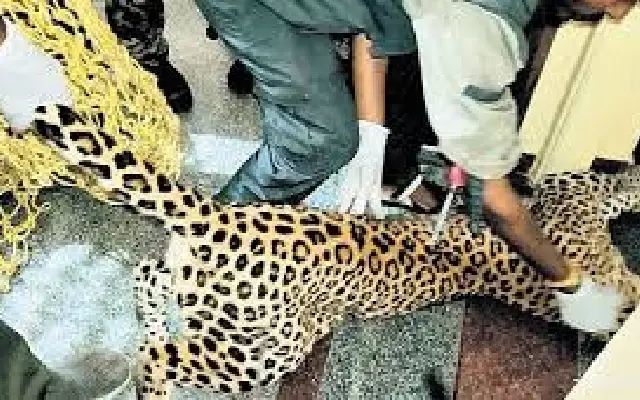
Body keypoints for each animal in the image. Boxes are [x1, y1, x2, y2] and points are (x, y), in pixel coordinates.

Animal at [29, 103, 640, 398]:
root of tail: (219, 215)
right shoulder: (577, 198)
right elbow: (624, 185)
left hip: (206, 299)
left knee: (147, 276)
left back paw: (152, 322)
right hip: (267, 350)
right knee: (157, 355)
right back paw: (152, 385)